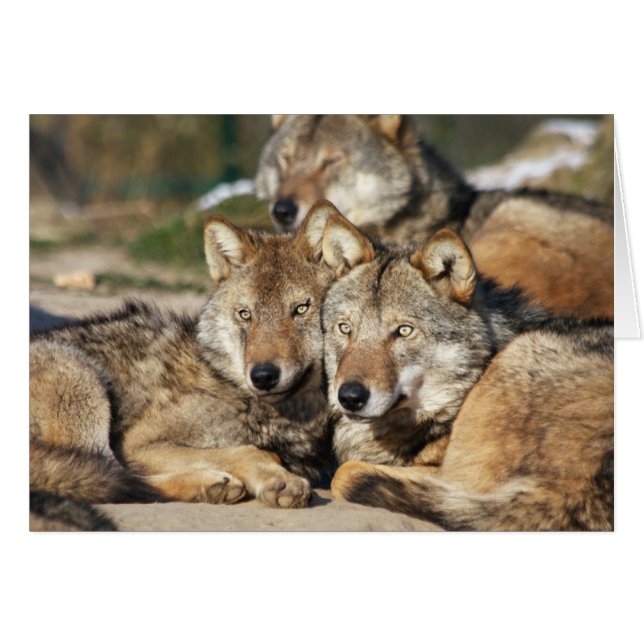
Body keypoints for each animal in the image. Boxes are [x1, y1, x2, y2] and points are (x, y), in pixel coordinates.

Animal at [30, 201, 354, 523]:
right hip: (84, 386)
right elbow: (247, 451)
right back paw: (208, 483)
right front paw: (278, 478)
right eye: (245, 314)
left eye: (300, 309)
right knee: (119, 478)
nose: (263, 376)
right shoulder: (137, 443)